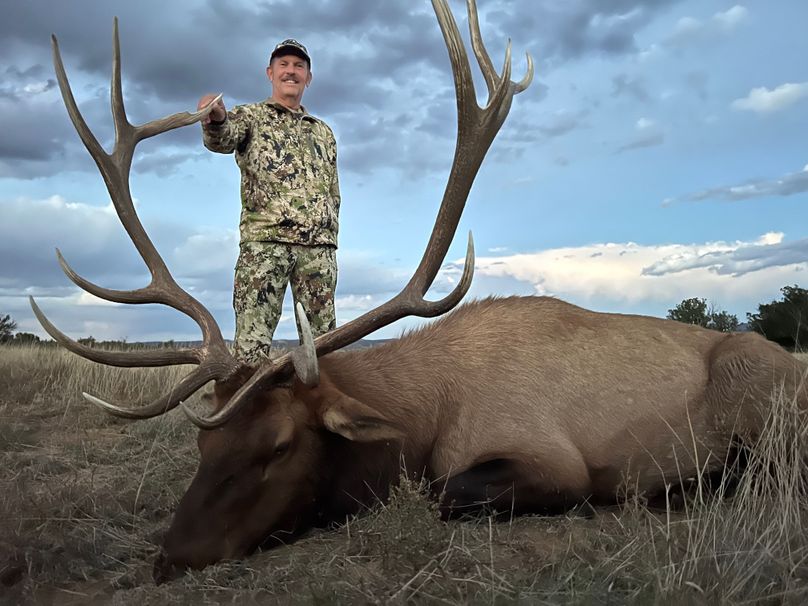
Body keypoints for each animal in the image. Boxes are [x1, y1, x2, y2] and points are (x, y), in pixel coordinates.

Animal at [31, 0, 806, 587]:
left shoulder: (555, 460)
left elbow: (444, 492)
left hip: (758, 386)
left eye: (279, 446)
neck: (428, 415)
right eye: (202, 444)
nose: (170, 558)